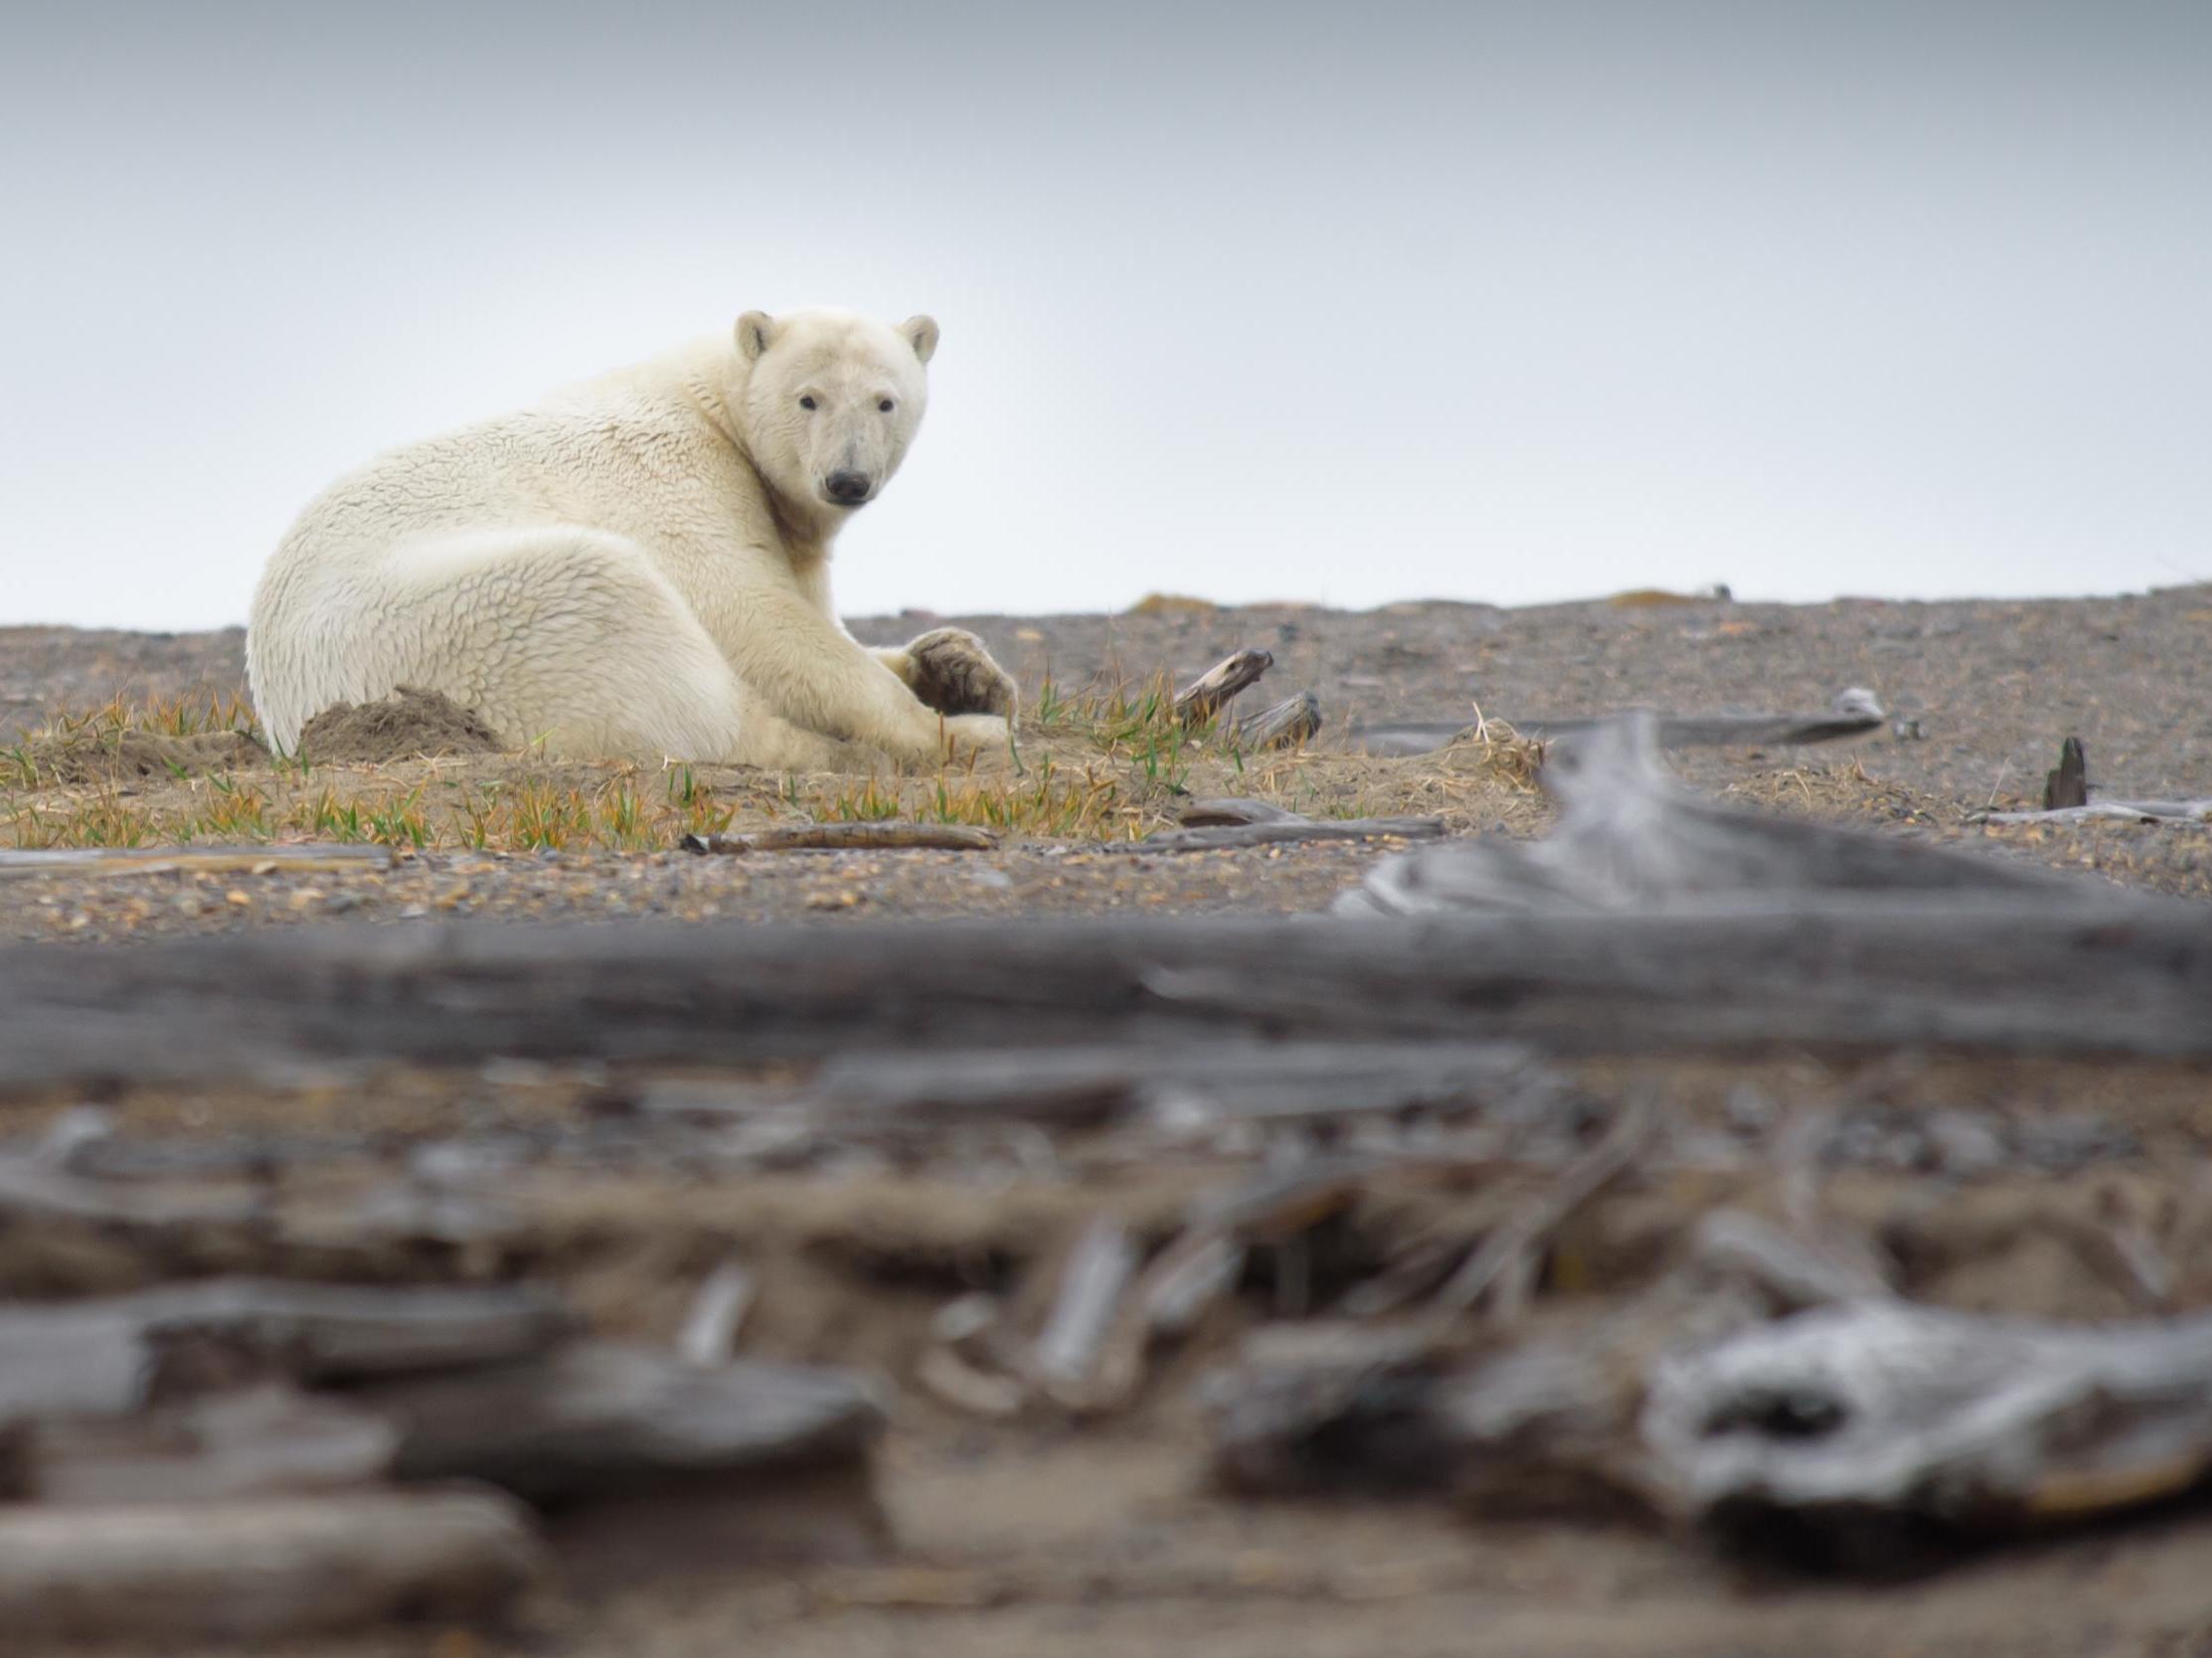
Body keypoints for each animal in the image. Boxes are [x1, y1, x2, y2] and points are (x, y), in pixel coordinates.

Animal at [247, 309, 1021, 768]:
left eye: (885, 401)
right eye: (809, 398)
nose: (847, 480)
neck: (714, 408)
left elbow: (816, 612)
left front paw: (960, 665)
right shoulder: (678, 475)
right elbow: (753, 617)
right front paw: (948, 718)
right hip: (460, 621)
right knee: (648, 649)